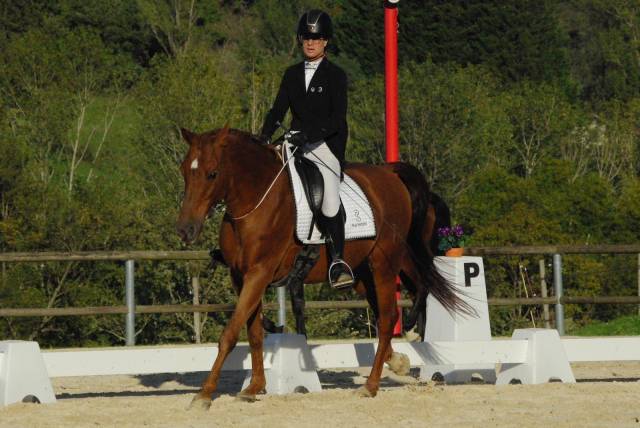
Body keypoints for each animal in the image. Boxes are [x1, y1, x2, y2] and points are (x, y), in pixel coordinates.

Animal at [176, 126, 465, 408]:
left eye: (212, 173)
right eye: (184, 170)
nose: (186, 230)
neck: (255, 202)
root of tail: (389, 174)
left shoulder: (259, 273)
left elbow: (230, 334)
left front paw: (204, 394)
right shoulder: (241, 277)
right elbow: (254, 332)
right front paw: (255, 387)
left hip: (386, 264)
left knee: (392, 314)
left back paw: (372, 384)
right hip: (363, 273)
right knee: (396, 304)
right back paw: (397, 359)